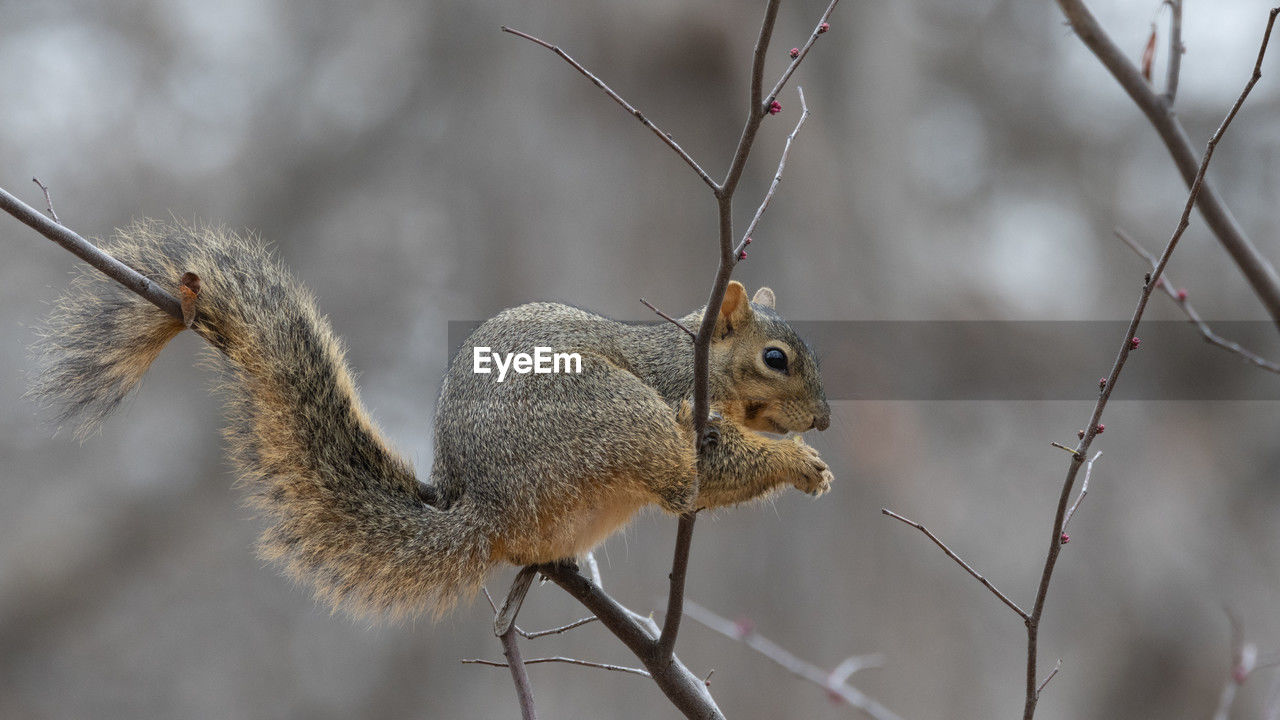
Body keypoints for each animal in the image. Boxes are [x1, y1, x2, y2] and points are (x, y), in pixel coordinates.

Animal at [32, 219, 829, 617]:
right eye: (776, 359)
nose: (822, 421)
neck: (696, 355)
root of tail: (486, 508)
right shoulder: (674, 392)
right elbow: (719, 457)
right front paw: (803, 466)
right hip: (615, 417)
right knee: (680, 484)